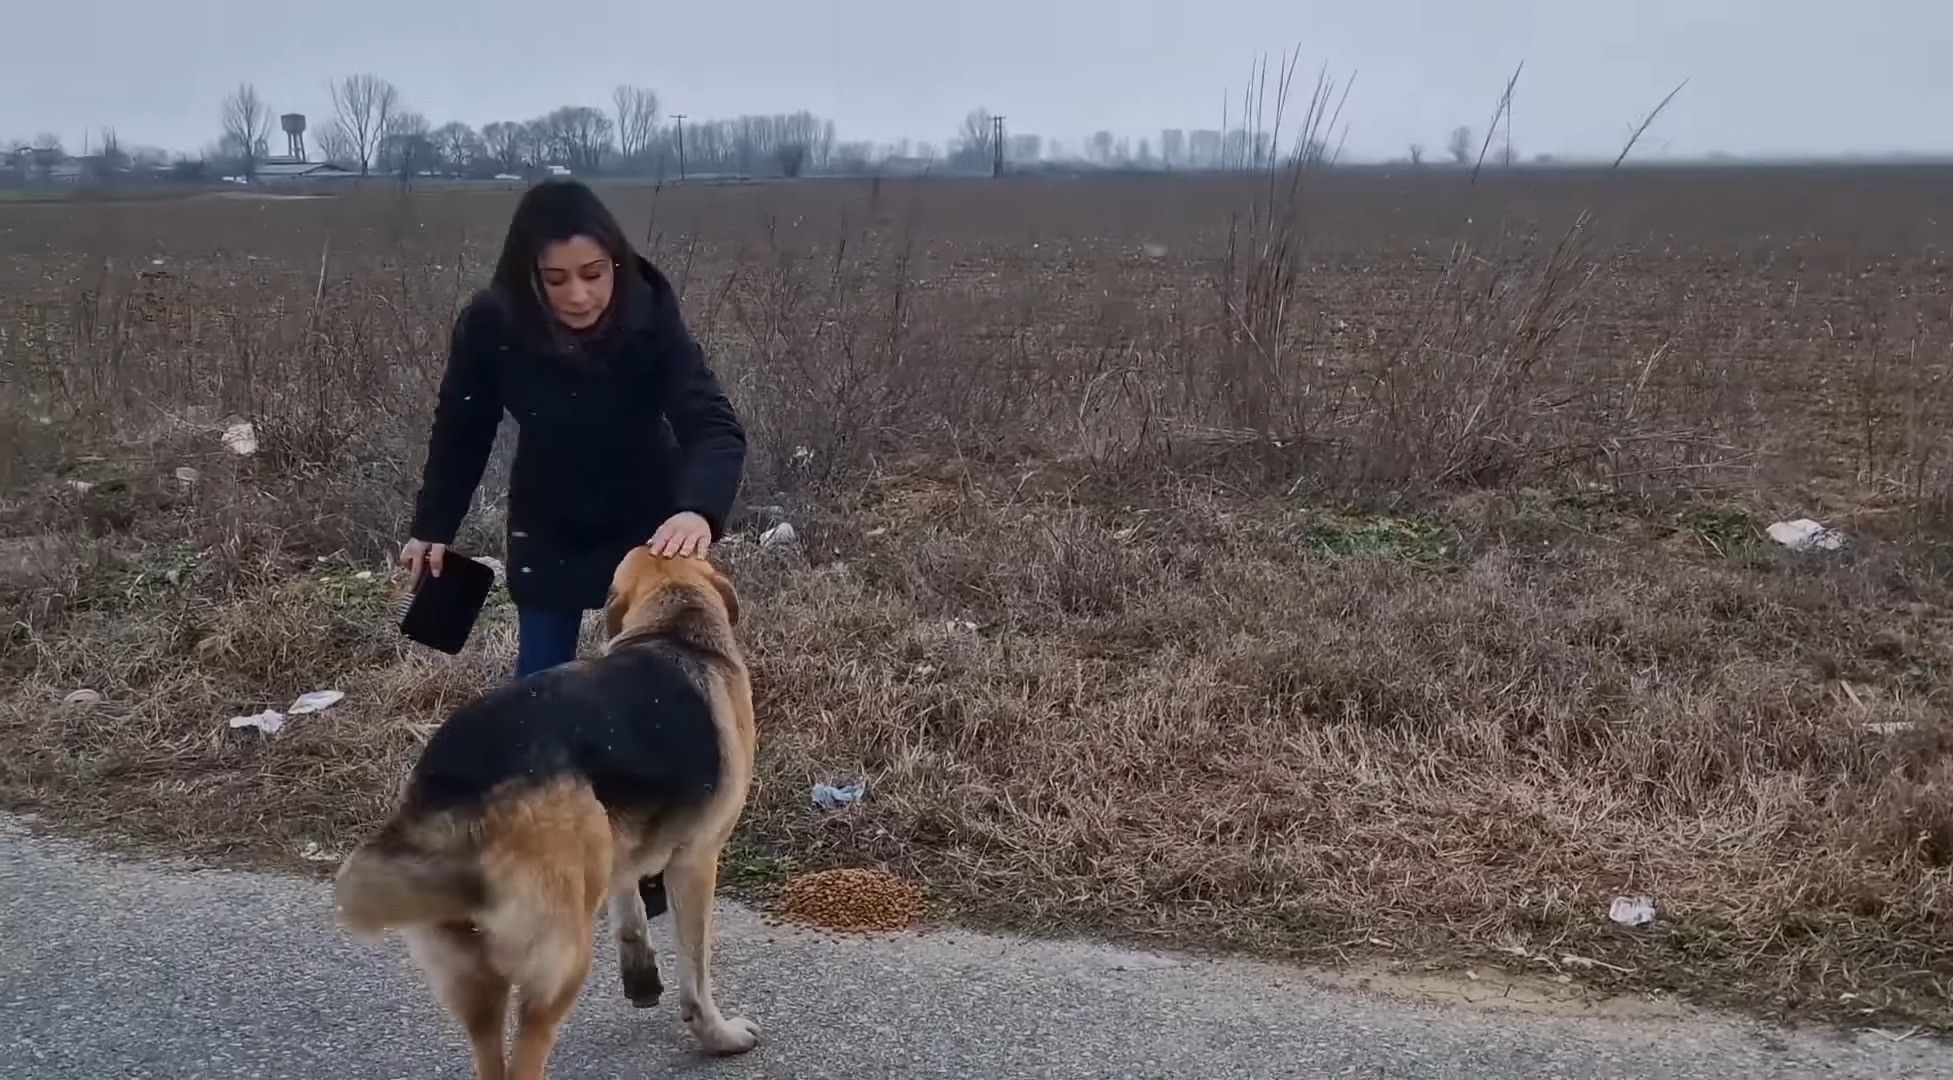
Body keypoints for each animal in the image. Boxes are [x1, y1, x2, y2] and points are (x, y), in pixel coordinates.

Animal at [332, 546, 757, 1078]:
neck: (674, 623)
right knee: (525, 1058)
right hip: (560, 960)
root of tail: (459, 781)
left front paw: (640, 976)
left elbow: (629, 912)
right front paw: (718, 1035)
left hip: (480, 978)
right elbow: (696, 973)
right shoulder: (697, 861)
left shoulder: (619, 840)